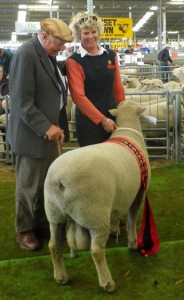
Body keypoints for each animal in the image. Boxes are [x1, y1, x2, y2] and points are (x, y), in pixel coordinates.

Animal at [44, 101, 151, 292]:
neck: (128, 131)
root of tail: (60, 179)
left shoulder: (121, 196)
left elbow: (120, 216)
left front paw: (118, 229)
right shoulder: (138, 193)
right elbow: (132, 218)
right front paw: (133, 243)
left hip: (54, 214)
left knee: (54, 246)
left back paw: (60, 277)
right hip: (95, 215)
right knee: (96, 251)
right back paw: (107, 283)